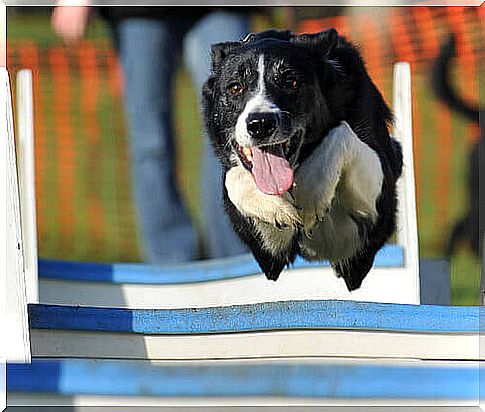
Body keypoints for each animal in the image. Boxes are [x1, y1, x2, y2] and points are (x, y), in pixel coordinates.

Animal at [202, 29, 402, 290]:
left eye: (291, 82)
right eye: (235, 88)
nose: (261, 123)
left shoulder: (367, 231)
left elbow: (341, 129)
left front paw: (311, 196)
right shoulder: (270, 256)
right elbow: (233, 177)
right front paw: (275, 206)